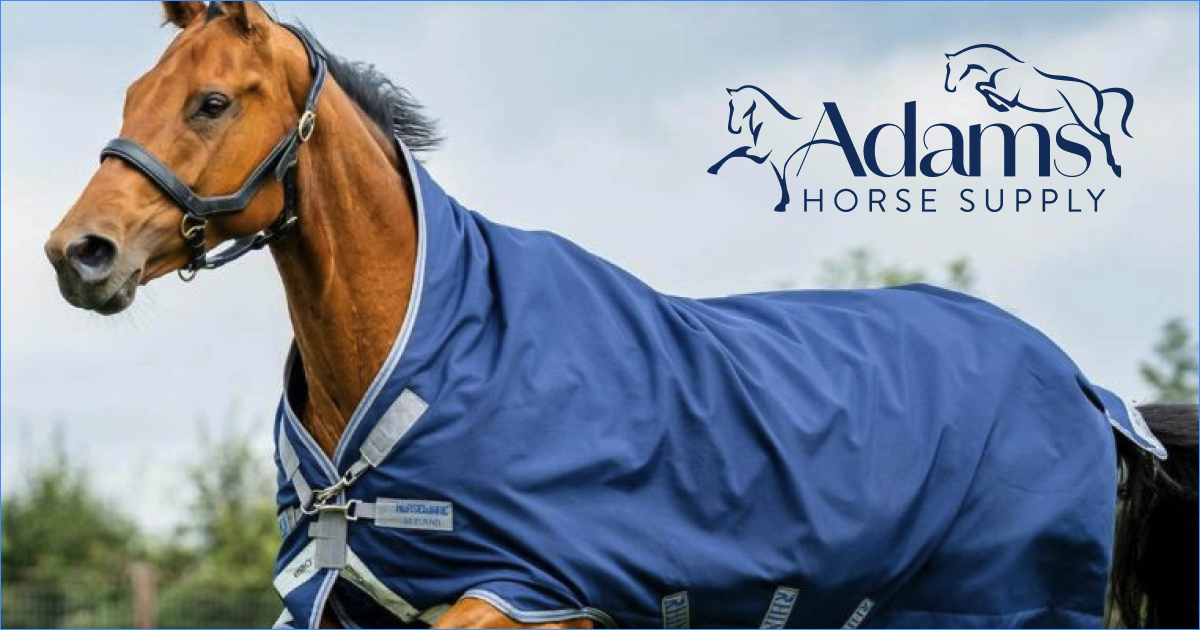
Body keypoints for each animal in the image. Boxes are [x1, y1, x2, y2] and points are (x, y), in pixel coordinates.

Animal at [943, 43, 1135, 178]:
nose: (949, 88)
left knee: (1105, 136)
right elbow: (982, 86)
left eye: (952, 67)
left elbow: (983, 87)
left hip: (1085, 119)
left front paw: (1000, 106)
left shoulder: (1011, 97)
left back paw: (1116, 168)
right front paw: (998, 106)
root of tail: (1098, 92)